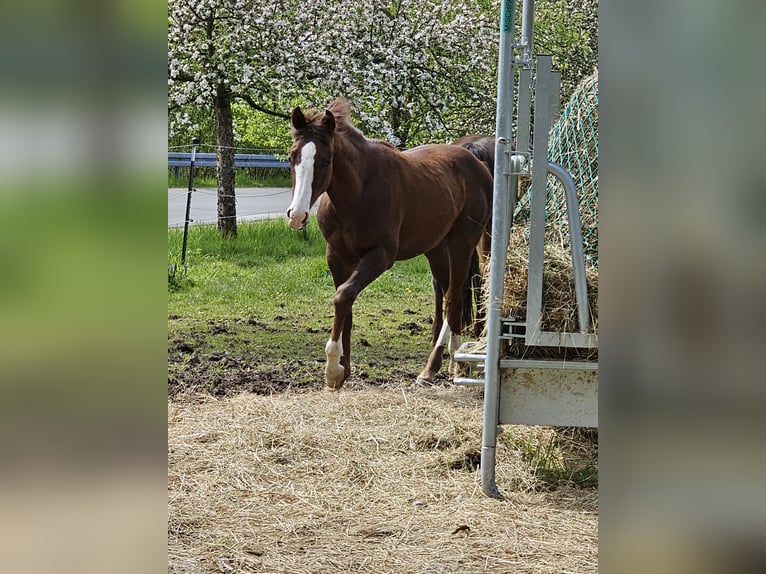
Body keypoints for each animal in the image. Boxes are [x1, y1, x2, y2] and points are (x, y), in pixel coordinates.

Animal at [286, 100, 492, 392]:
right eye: (292, 157)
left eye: (326, 160)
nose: (297, 215)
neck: (357, 193)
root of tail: (477, 163)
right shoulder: (337, 256)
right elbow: (345, 304)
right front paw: (343, 370)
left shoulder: (380, 256)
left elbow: (343, 296)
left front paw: (333, 369)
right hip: (437, 250)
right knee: (450, 294)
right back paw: (444, 363)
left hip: (463, 243)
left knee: (454, 297)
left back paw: (444, 365)